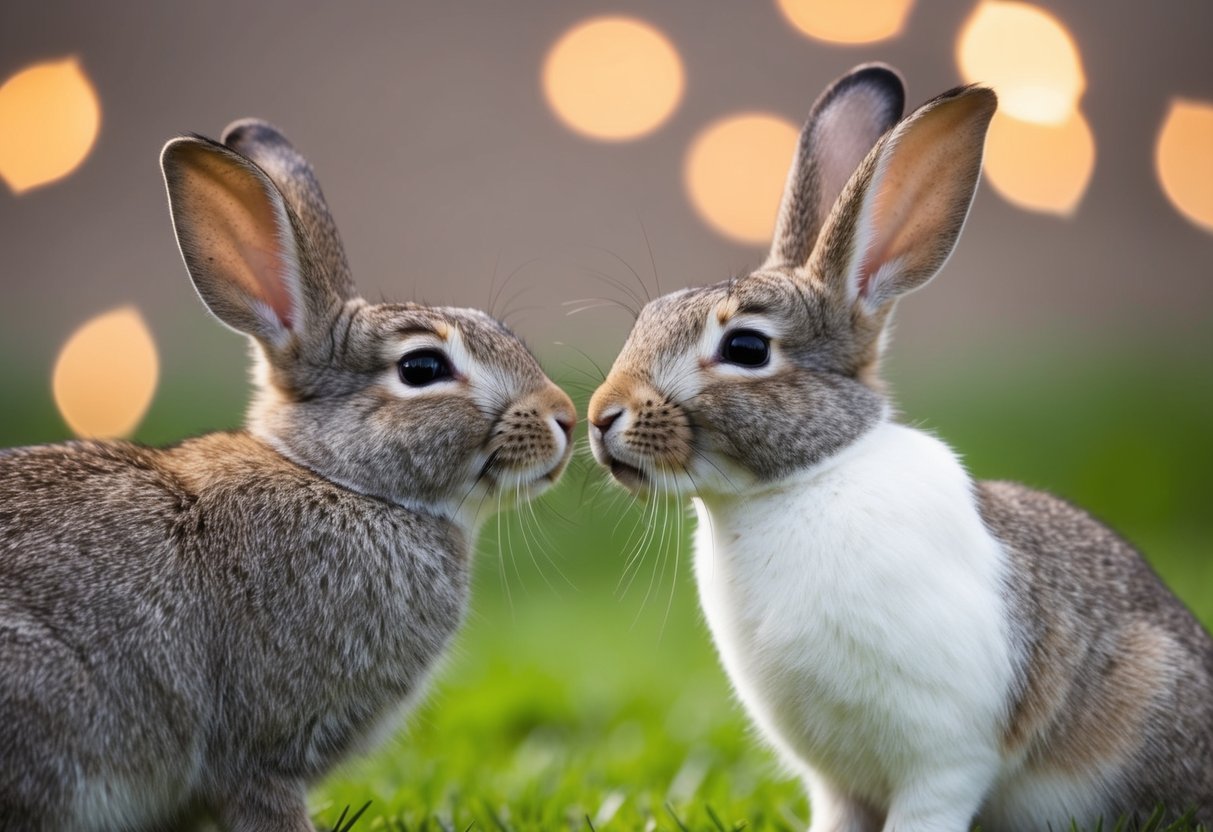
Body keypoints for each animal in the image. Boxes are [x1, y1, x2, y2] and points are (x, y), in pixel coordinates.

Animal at [588, 64, 1213, 831]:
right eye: (648, 316)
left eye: (746, 349)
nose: (599, 417)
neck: (800, 483)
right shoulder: (835, 783)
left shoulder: (944, 758)